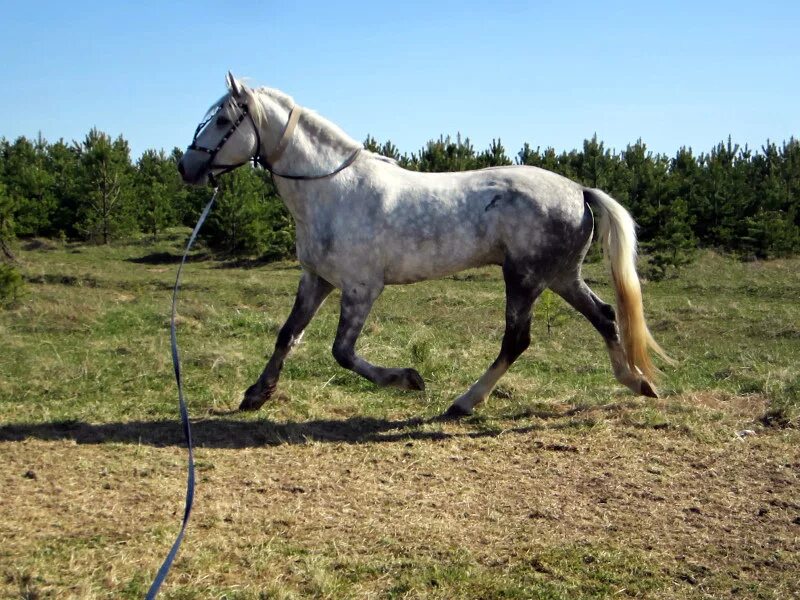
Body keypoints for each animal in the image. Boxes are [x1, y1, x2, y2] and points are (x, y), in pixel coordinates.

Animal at [178, 72, 672, 414]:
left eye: (222, 119)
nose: (187, 166)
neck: (332, 189)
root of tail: (579, 190)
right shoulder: (316, 280)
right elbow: (288, 335)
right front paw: (256, 394)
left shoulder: (361, 288)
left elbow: (342, 352)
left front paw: (408, 379)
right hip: (560, 276)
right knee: (605, 316)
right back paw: (637, 383)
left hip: (525, 278)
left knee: (517, 340)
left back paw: (463, 403)